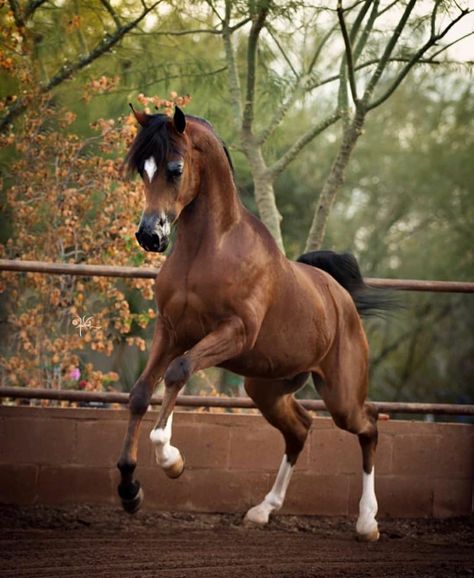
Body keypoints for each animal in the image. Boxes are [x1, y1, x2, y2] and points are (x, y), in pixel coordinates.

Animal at [116, 104, 386, 540]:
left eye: (175, 168)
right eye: (142, 168)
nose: (149, 235)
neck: (209, 250)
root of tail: (339, 297)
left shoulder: (232, 333)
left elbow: (177, 372)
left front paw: (171, 459)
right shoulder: (170, 332)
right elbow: (140, 393)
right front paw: (129, 490)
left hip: (341, 396)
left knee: (370, 424)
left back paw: (367, 522)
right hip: (266, 388)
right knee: (300, 428)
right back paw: (263, 510)